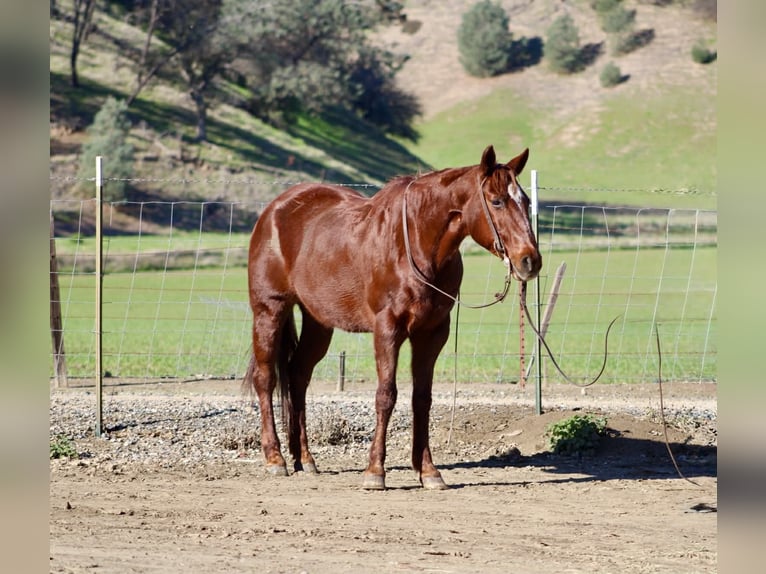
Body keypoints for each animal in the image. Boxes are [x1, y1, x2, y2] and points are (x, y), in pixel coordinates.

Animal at [243, 145, 542, 490]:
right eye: (496, 201)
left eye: (526, 201)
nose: (530, 260)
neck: (416, 243)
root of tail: (274, 210)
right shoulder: (387, 329)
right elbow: (386, 395)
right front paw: (375, 471)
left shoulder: (432, 333)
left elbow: (422, 398)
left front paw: (428, 471)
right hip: (269, 310)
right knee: (266, 379)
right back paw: (275, 458)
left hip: (318, 322)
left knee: (297, 375)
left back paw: (304, 458)